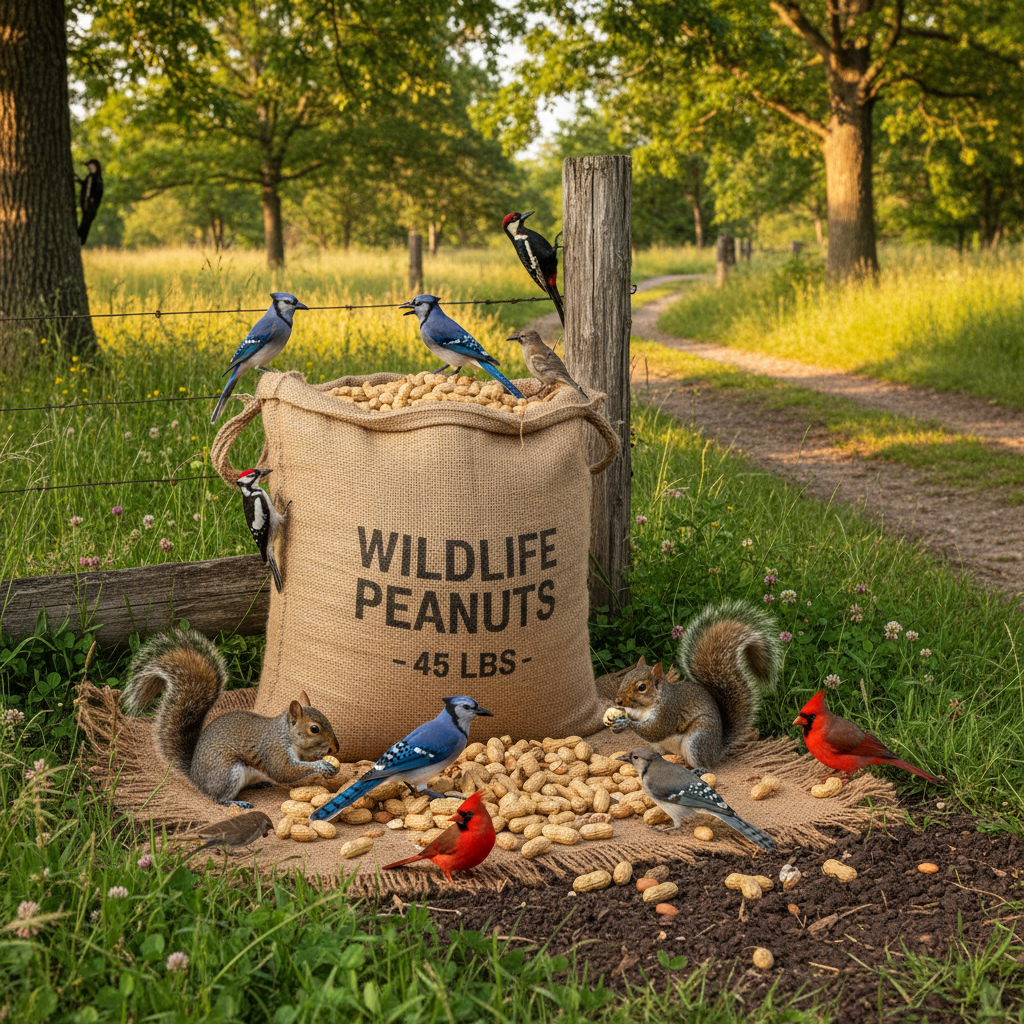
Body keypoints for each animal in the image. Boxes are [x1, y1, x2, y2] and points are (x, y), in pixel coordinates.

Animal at [121, 628, 341, 807]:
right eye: (314, 729)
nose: (335, 748)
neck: (286, 735)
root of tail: (195, 775)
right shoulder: (273, 750)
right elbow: (284, 771)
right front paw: (321, 765)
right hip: (227, 772)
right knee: (216, 798)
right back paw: (236, 802)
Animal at [605, 599, 781, 768]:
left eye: (641, 687)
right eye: (625, 677)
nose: (618, 701)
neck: (645, 707)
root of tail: (716, 750)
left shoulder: (668, 711)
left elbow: (655, 730)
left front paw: (626, 723)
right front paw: (618, 718)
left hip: (698, 739)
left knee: (706, 765)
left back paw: (700, 769)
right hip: (662, 746)